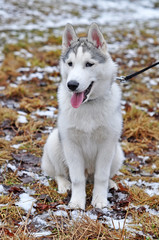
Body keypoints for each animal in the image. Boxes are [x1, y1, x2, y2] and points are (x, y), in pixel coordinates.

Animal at [41, 23, 124, 209]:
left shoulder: (107, 144)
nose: (72, 85)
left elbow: (101, 176)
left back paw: (110, 183)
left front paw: (100, 199)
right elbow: (77, 179)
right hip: (55, 141)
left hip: (117, 153)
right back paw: (64, 184)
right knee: (59, 173)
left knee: (98, 176)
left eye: (89, 64)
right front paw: (77, 203)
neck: (88, 105)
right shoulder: (71, 145)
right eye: (70, 64)